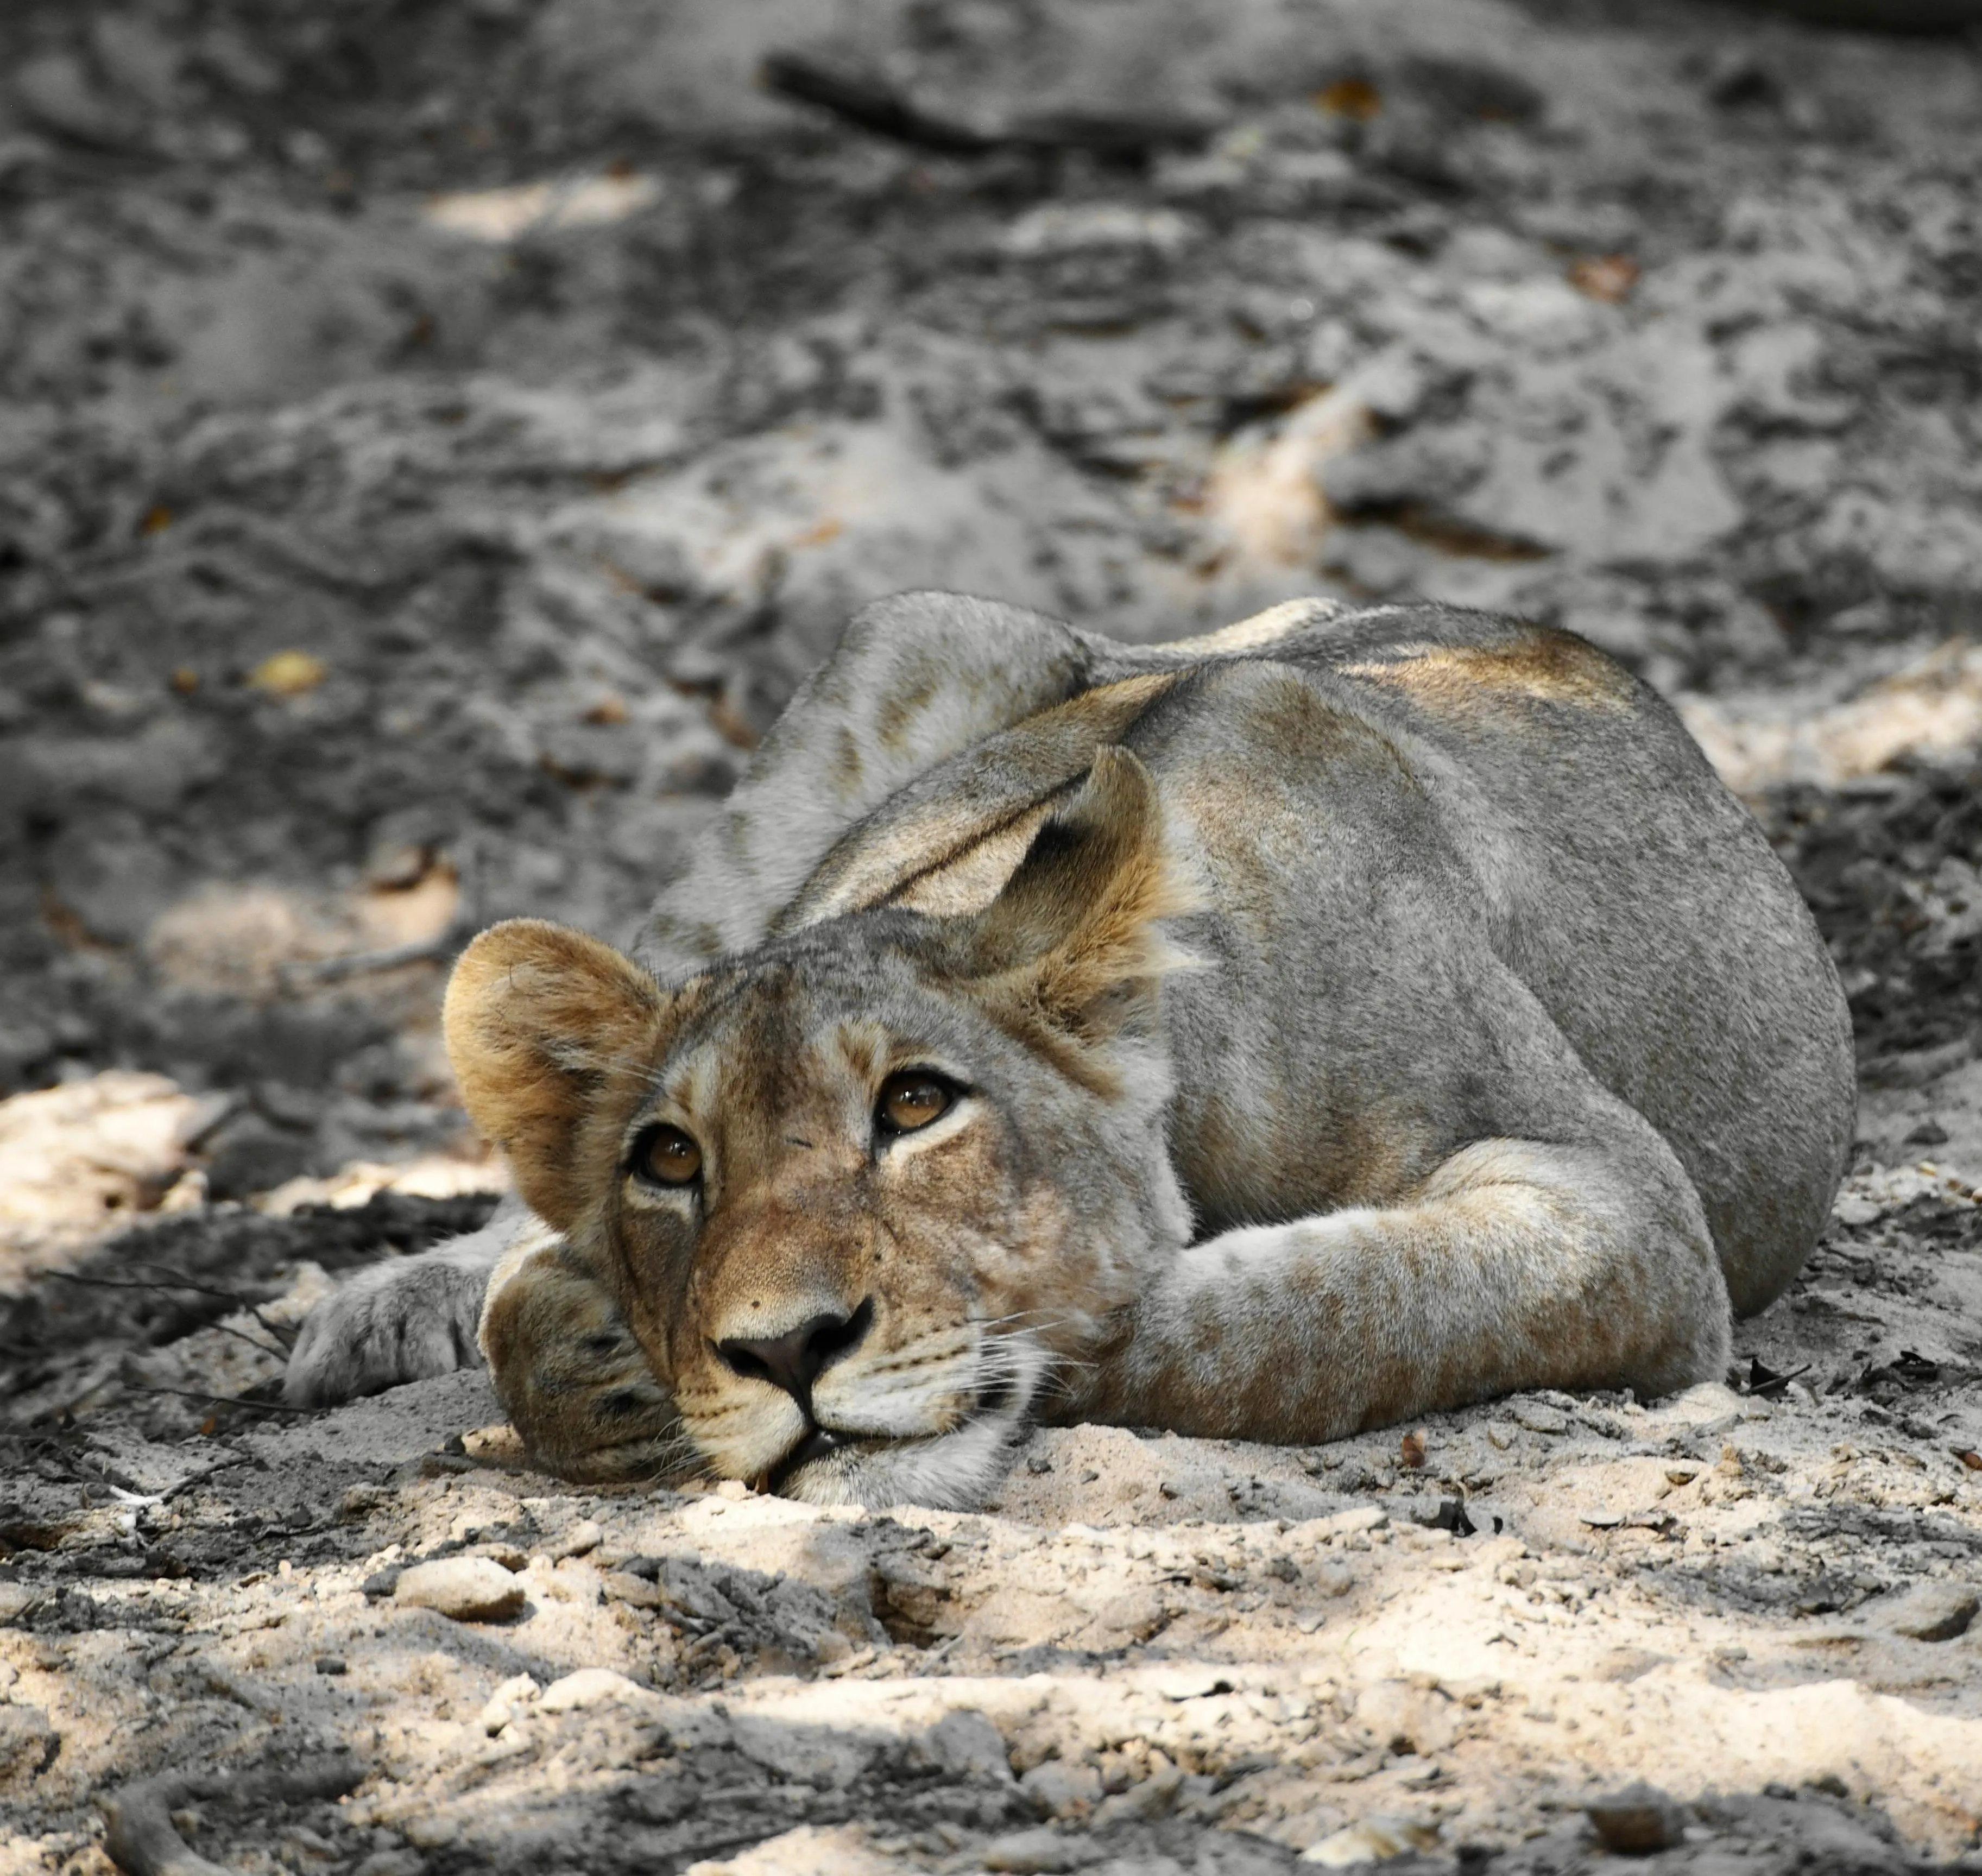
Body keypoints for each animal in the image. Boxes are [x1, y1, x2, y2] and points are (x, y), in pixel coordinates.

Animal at [285, 591, 1854, 1509]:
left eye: (917, 1105)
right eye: (670, 1160)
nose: (784, 1346)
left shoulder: (1620, 1198)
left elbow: (1322, 1306)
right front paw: (603, 1349)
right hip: (911, 636)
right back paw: (378, 1305)